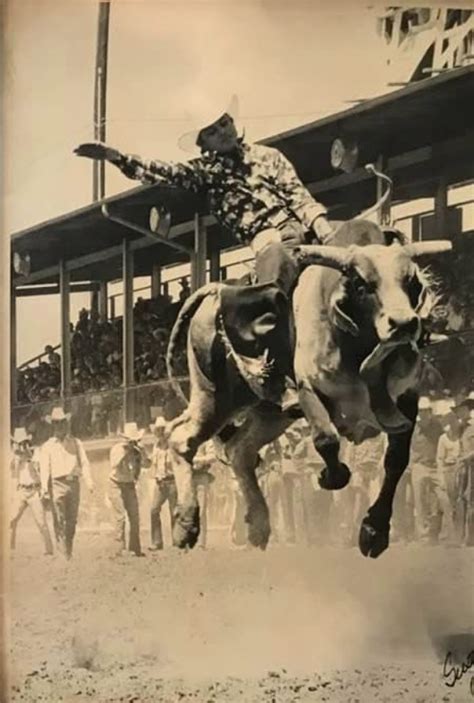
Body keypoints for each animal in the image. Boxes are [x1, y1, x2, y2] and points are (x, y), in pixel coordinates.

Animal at [165, 210, 450, 560]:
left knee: (239, 450)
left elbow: (396, 461)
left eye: (409, 280)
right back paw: (185, 525)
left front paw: (374, 532)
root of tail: (215, 292)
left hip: (269, 412)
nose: (404, 324)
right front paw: (329, 476)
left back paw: (258, 525)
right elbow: (327, 441)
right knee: (182, 440)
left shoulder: (407, 399)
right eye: (362, 284)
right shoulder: (309, 390)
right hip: (215, 397)